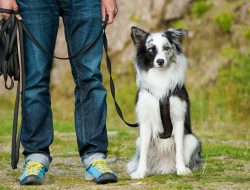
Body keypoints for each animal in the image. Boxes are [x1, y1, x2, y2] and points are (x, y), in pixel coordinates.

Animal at [127, 27, 201, 180]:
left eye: (166, 48)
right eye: (151, 50)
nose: (160, 61)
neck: (160, 76)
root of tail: (165, 166)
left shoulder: (178, 118)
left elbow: (179, 148)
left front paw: (182, 170)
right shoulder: (145, 121)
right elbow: (144, 152)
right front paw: (140, 172)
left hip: (192, 140)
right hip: (139, 141)